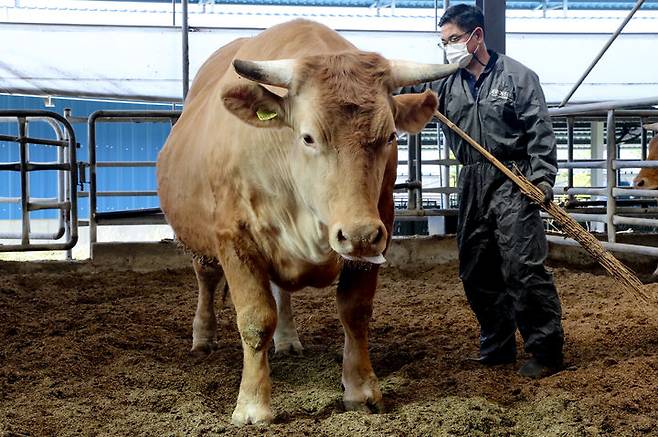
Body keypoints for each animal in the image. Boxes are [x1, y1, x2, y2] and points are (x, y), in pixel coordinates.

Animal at [156, 18, 454, 424]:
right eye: (308, 137)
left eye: (390, 136)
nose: (358, 234)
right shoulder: (233, 238)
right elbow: (255, 318)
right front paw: (253, 405)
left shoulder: (381, 228)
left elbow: (355, 312)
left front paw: (361, 390)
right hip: (198, 239)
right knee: (206, 277)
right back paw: (203, 337)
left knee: (281, 292)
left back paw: (287, 340)